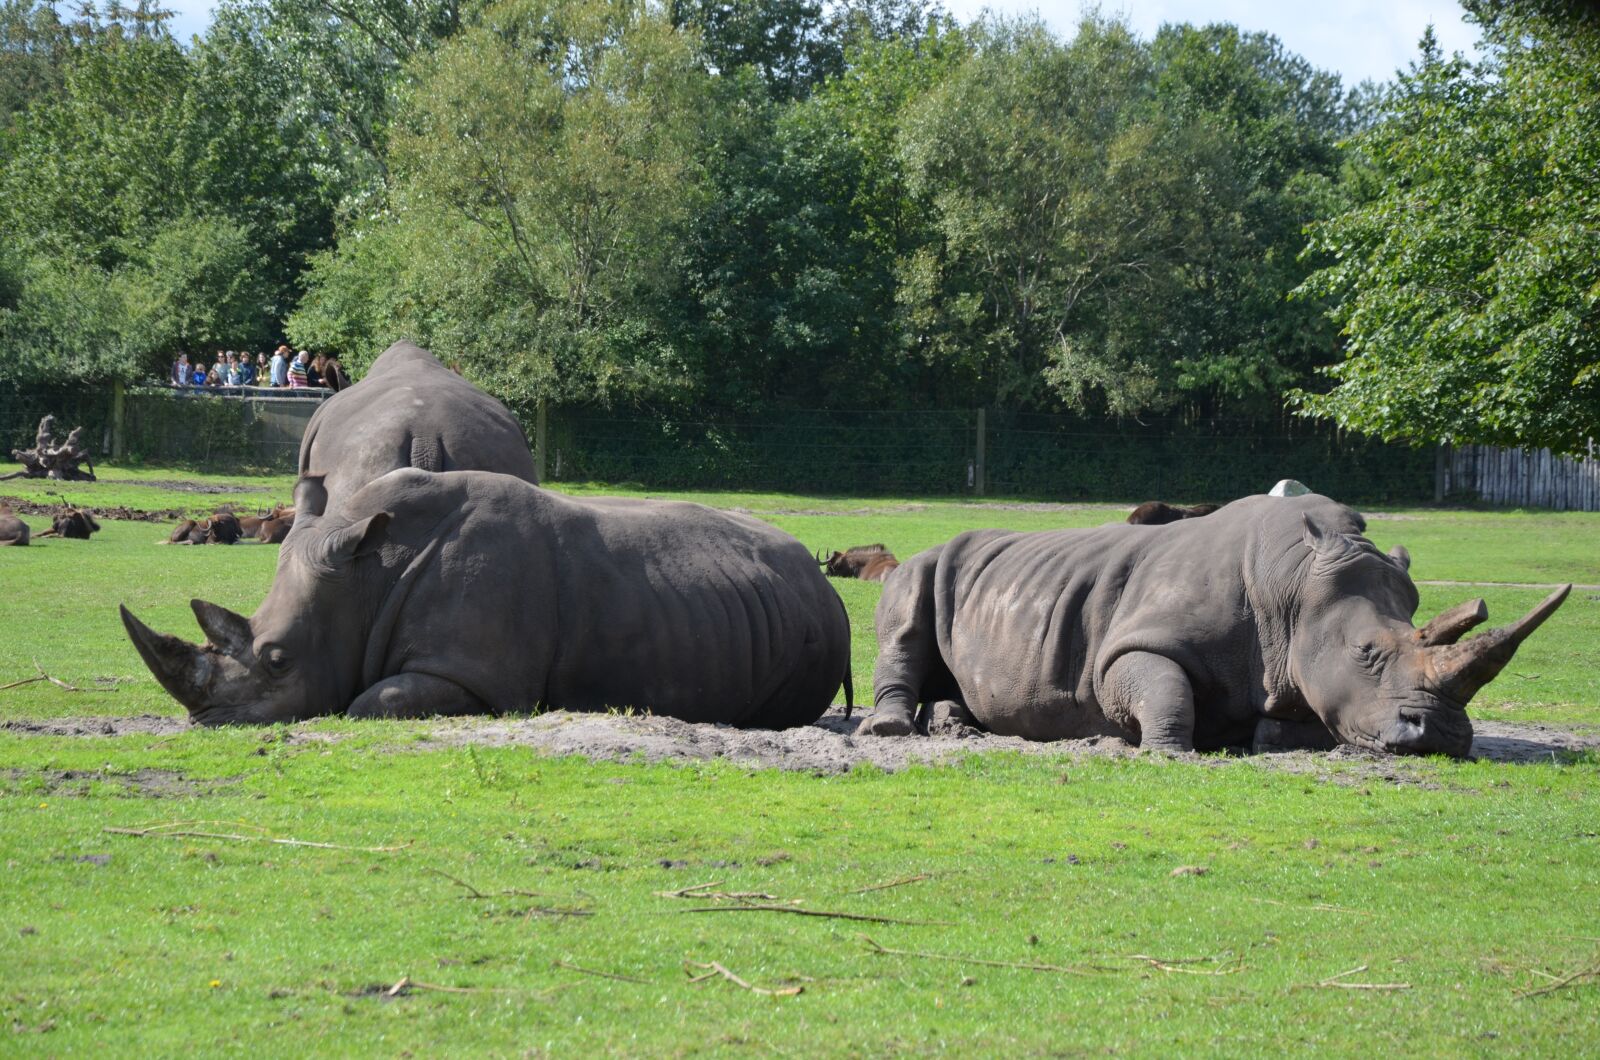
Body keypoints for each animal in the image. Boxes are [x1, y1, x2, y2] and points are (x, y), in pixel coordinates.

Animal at [121, 468, 850, 728]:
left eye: (277, 659)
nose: (209, 718)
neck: (367, 578)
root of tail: (821, 582)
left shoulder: (478, 675)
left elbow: (369, 701)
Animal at [858, 493, 1568, 757]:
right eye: (1367, 654)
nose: (1442, 736)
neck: (1293, 589)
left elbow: (1299, 718)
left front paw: (1264, 736)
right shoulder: (1129, 644)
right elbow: (1159, 684)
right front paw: (1168, 751)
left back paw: (955, 724)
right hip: (926, 565)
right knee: (906, 613)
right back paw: (892, 730)